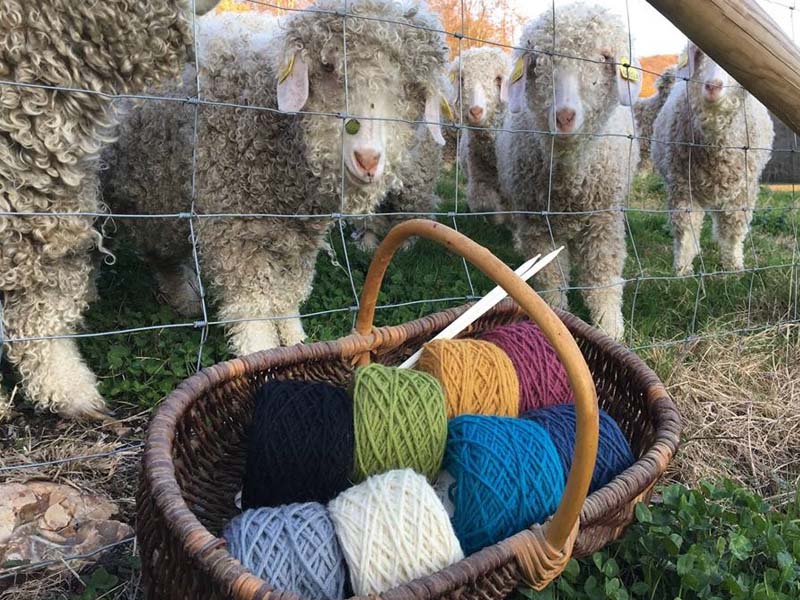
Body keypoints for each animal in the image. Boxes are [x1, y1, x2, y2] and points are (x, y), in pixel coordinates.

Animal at [101, 0, 450, 356]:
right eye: (327, 67)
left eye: (411, 86)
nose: (367, 158)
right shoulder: (232, 223)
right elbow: (252, 305)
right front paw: (259, 354)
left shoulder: (299, 234)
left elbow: (286, 296)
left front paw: (296, 344)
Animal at [648, 41, 776, 274]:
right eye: (699, 53)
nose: (712, 86)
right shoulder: (682, 186)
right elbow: (685, 227)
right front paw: (682, 269)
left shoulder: (743, 191)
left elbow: (733, 228)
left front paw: (734, 266)